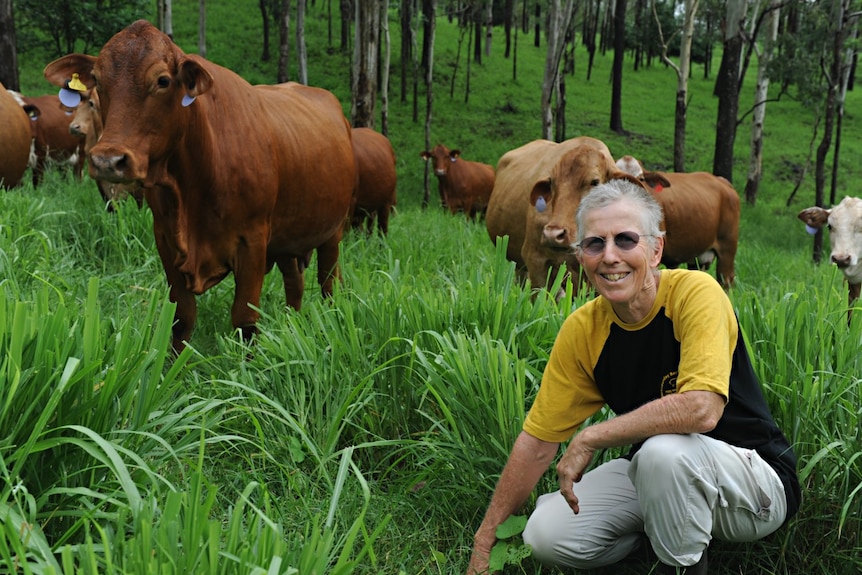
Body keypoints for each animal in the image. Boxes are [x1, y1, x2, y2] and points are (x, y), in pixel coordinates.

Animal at [43, 20, 354, 352]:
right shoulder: (165, 239)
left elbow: (245, 320)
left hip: (333, 232)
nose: (107, 160)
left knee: (329, 284)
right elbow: (182, 317)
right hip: (289, 238)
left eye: (163, 81)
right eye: (98, 81)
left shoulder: (253, 241)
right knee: (295, 283)